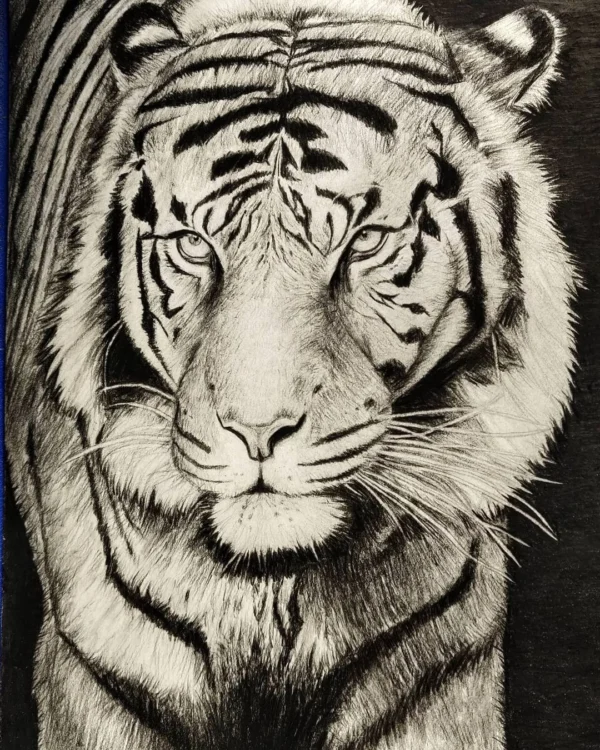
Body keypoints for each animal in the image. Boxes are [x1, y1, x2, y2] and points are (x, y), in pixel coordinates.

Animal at [6, 0, 576, 747]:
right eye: (195, 245)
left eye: (366, 242)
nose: (257, 433)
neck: (274, 587)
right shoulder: (97, 672)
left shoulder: (438, 675)